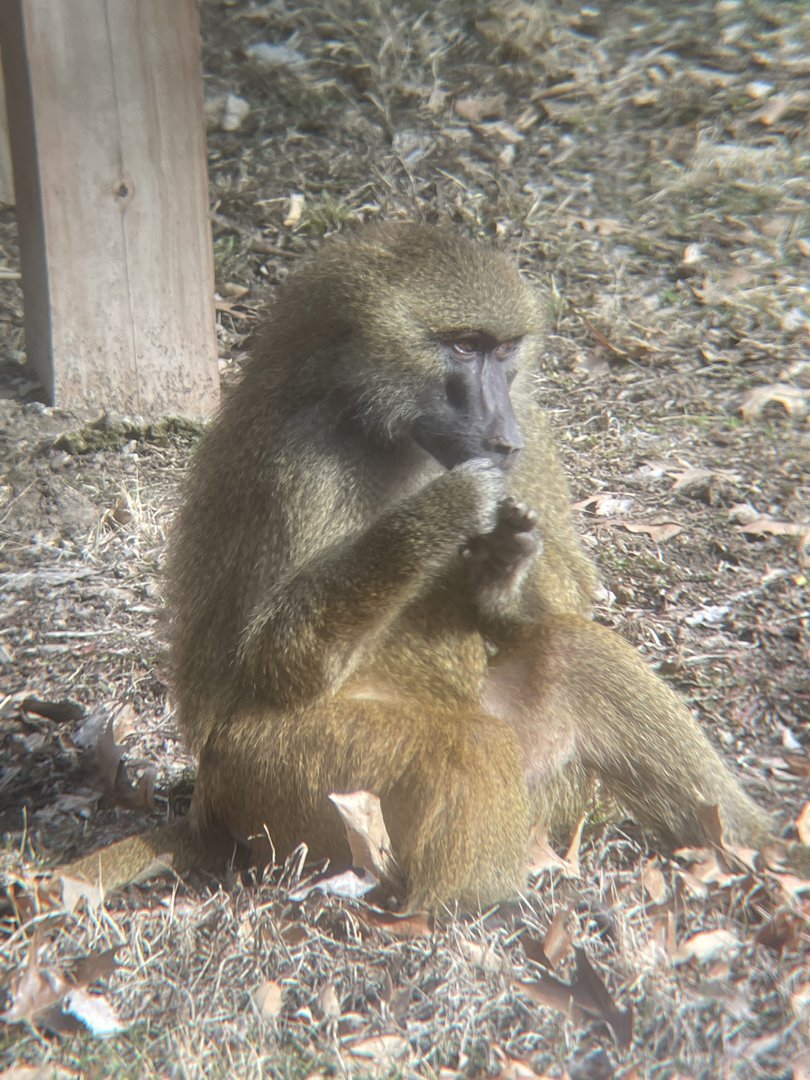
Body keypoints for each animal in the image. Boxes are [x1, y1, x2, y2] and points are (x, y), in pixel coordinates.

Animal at [62, 221, 794, 911]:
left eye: (503, 350)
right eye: (462, 347)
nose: (500, 436)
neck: (372, 415)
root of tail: (209, 809)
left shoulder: (532, 423)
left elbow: (571, 601)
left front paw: (504, 567)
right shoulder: (292, 462)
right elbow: (277, 659)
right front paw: (445, 511)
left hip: (540, 784)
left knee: (571, 653)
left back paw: (758, 847)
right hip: (275, 788)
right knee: (465, 745)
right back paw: (455, 910)